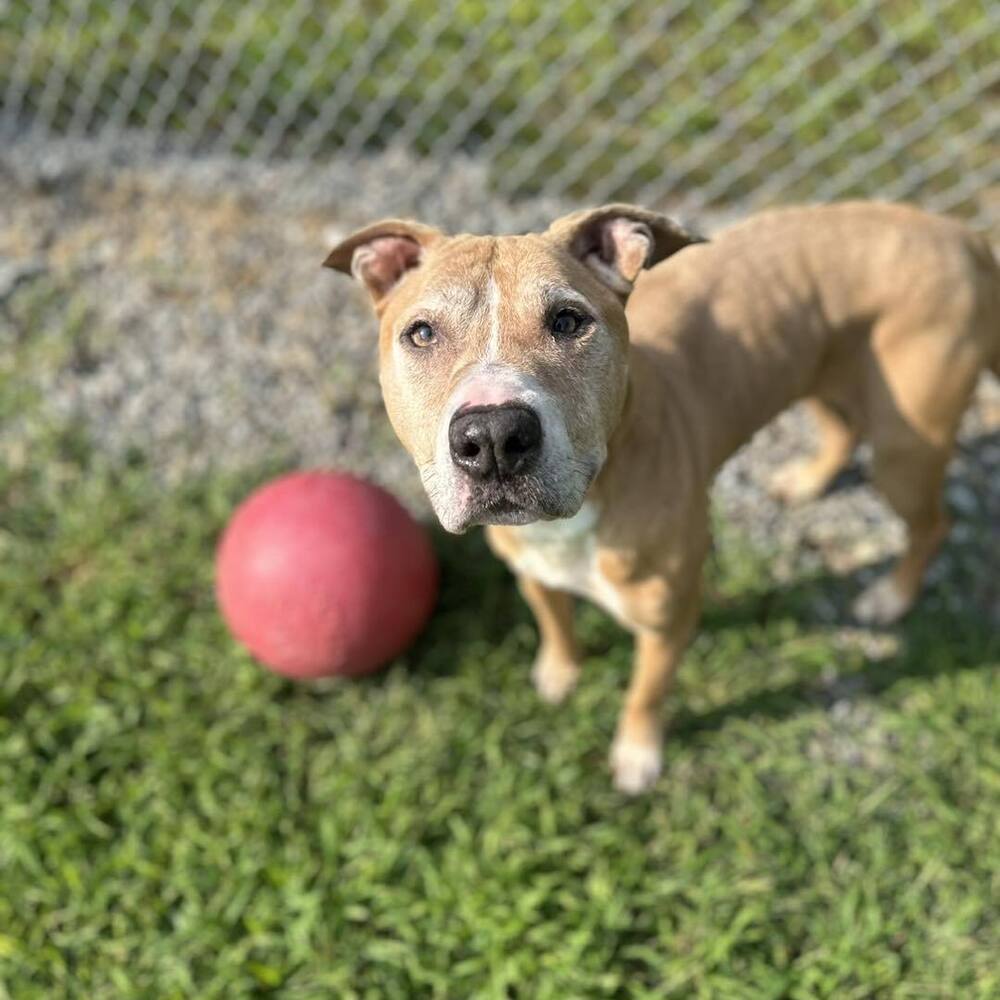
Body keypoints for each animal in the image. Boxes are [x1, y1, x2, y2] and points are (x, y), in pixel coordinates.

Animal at [326, 203, 1000, 792]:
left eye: (568, 321)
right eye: (421, 334)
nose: (493, 435)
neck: (582, 513)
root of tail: (959, 234)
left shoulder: (671, 621)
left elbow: (645, 694)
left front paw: (637, 756)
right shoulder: (532, 572)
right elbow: (555, 622)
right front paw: (560, 672)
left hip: (904, 449)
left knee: (931, 523)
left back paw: (890, 597)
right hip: (825, 373)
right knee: (842, 428)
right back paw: (807, 483)